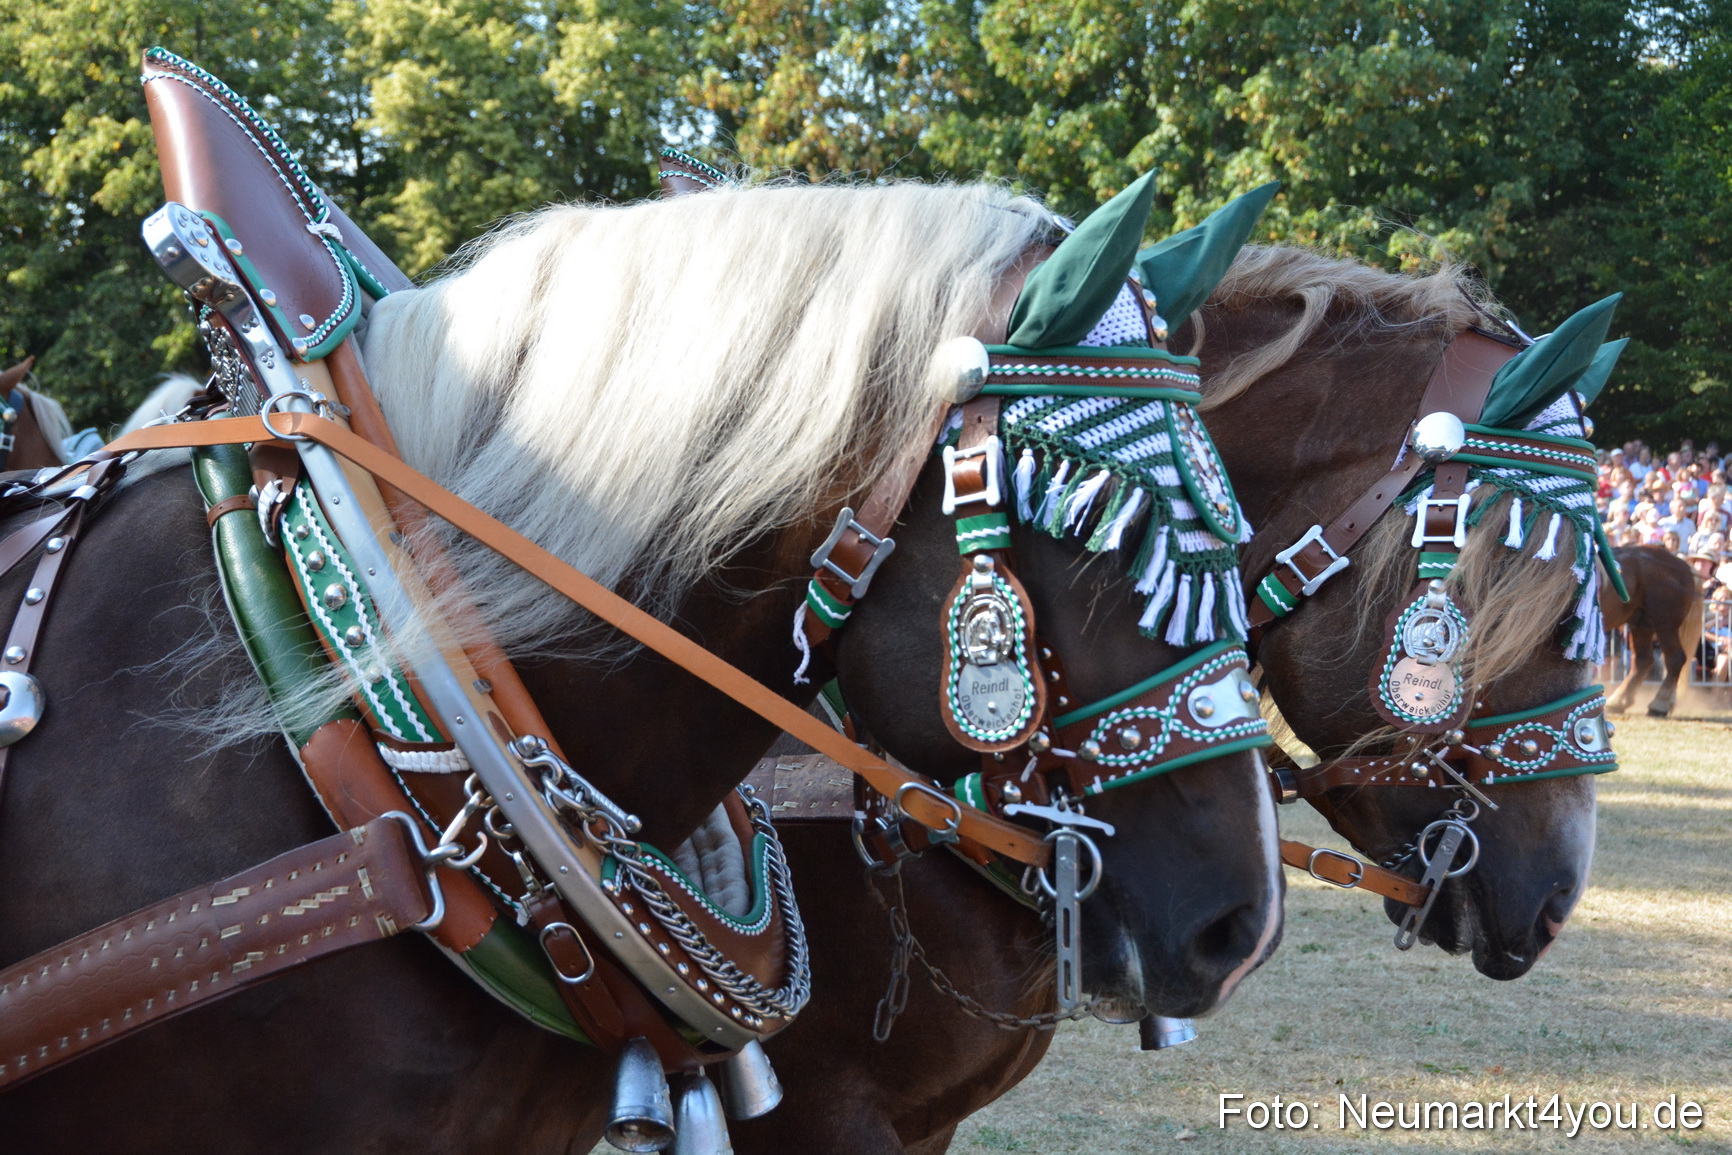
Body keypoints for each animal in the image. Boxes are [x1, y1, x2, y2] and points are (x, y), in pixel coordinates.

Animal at [1601, 545, 1702, 716]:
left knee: (1675, 659)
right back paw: (1619, 700)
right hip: (1642, 624)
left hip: (1666, 624)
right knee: (1643, 660)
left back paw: (1659, 704)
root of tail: (1682, 565)